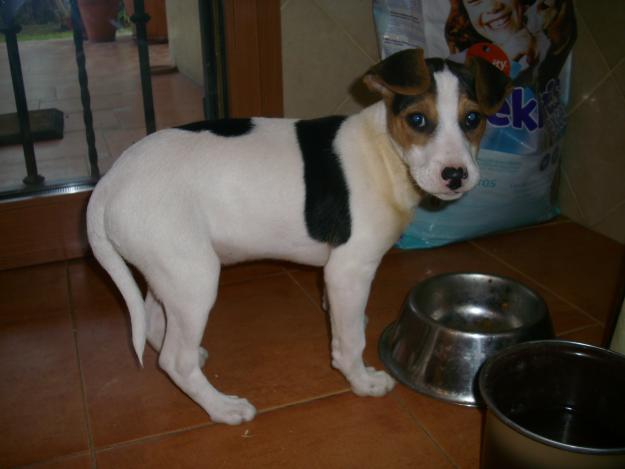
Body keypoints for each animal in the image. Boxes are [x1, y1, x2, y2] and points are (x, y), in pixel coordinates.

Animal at [85, 48, 510, 424]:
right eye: (418, 120)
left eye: (473, 118)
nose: (455, 175)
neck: (385, 152)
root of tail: (108, 182)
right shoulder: (349, 270)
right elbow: (349, 341)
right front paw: (361, 381)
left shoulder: (336, 277)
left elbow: (343, 319)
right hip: (195, 279)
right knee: (176, 359)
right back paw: (222, 407)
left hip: (170, 274)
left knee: (156, 326)